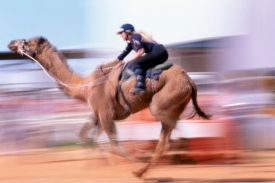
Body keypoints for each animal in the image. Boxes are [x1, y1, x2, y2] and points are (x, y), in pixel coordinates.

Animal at [8, 36, 211, 177]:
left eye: (27, 40)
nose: (11, 43)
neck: (84, 85)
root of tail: (190, 81)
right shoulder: (99, 113)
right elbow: (84, 135)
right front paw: (98, 163)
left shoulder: (105, 112)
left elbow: (113, 144)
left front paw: (130, 161)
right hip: (174, 105)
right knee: (180, 132)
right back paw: (173, 158)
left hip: (161, 105)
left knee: (165, 138)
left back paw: (141, 170)